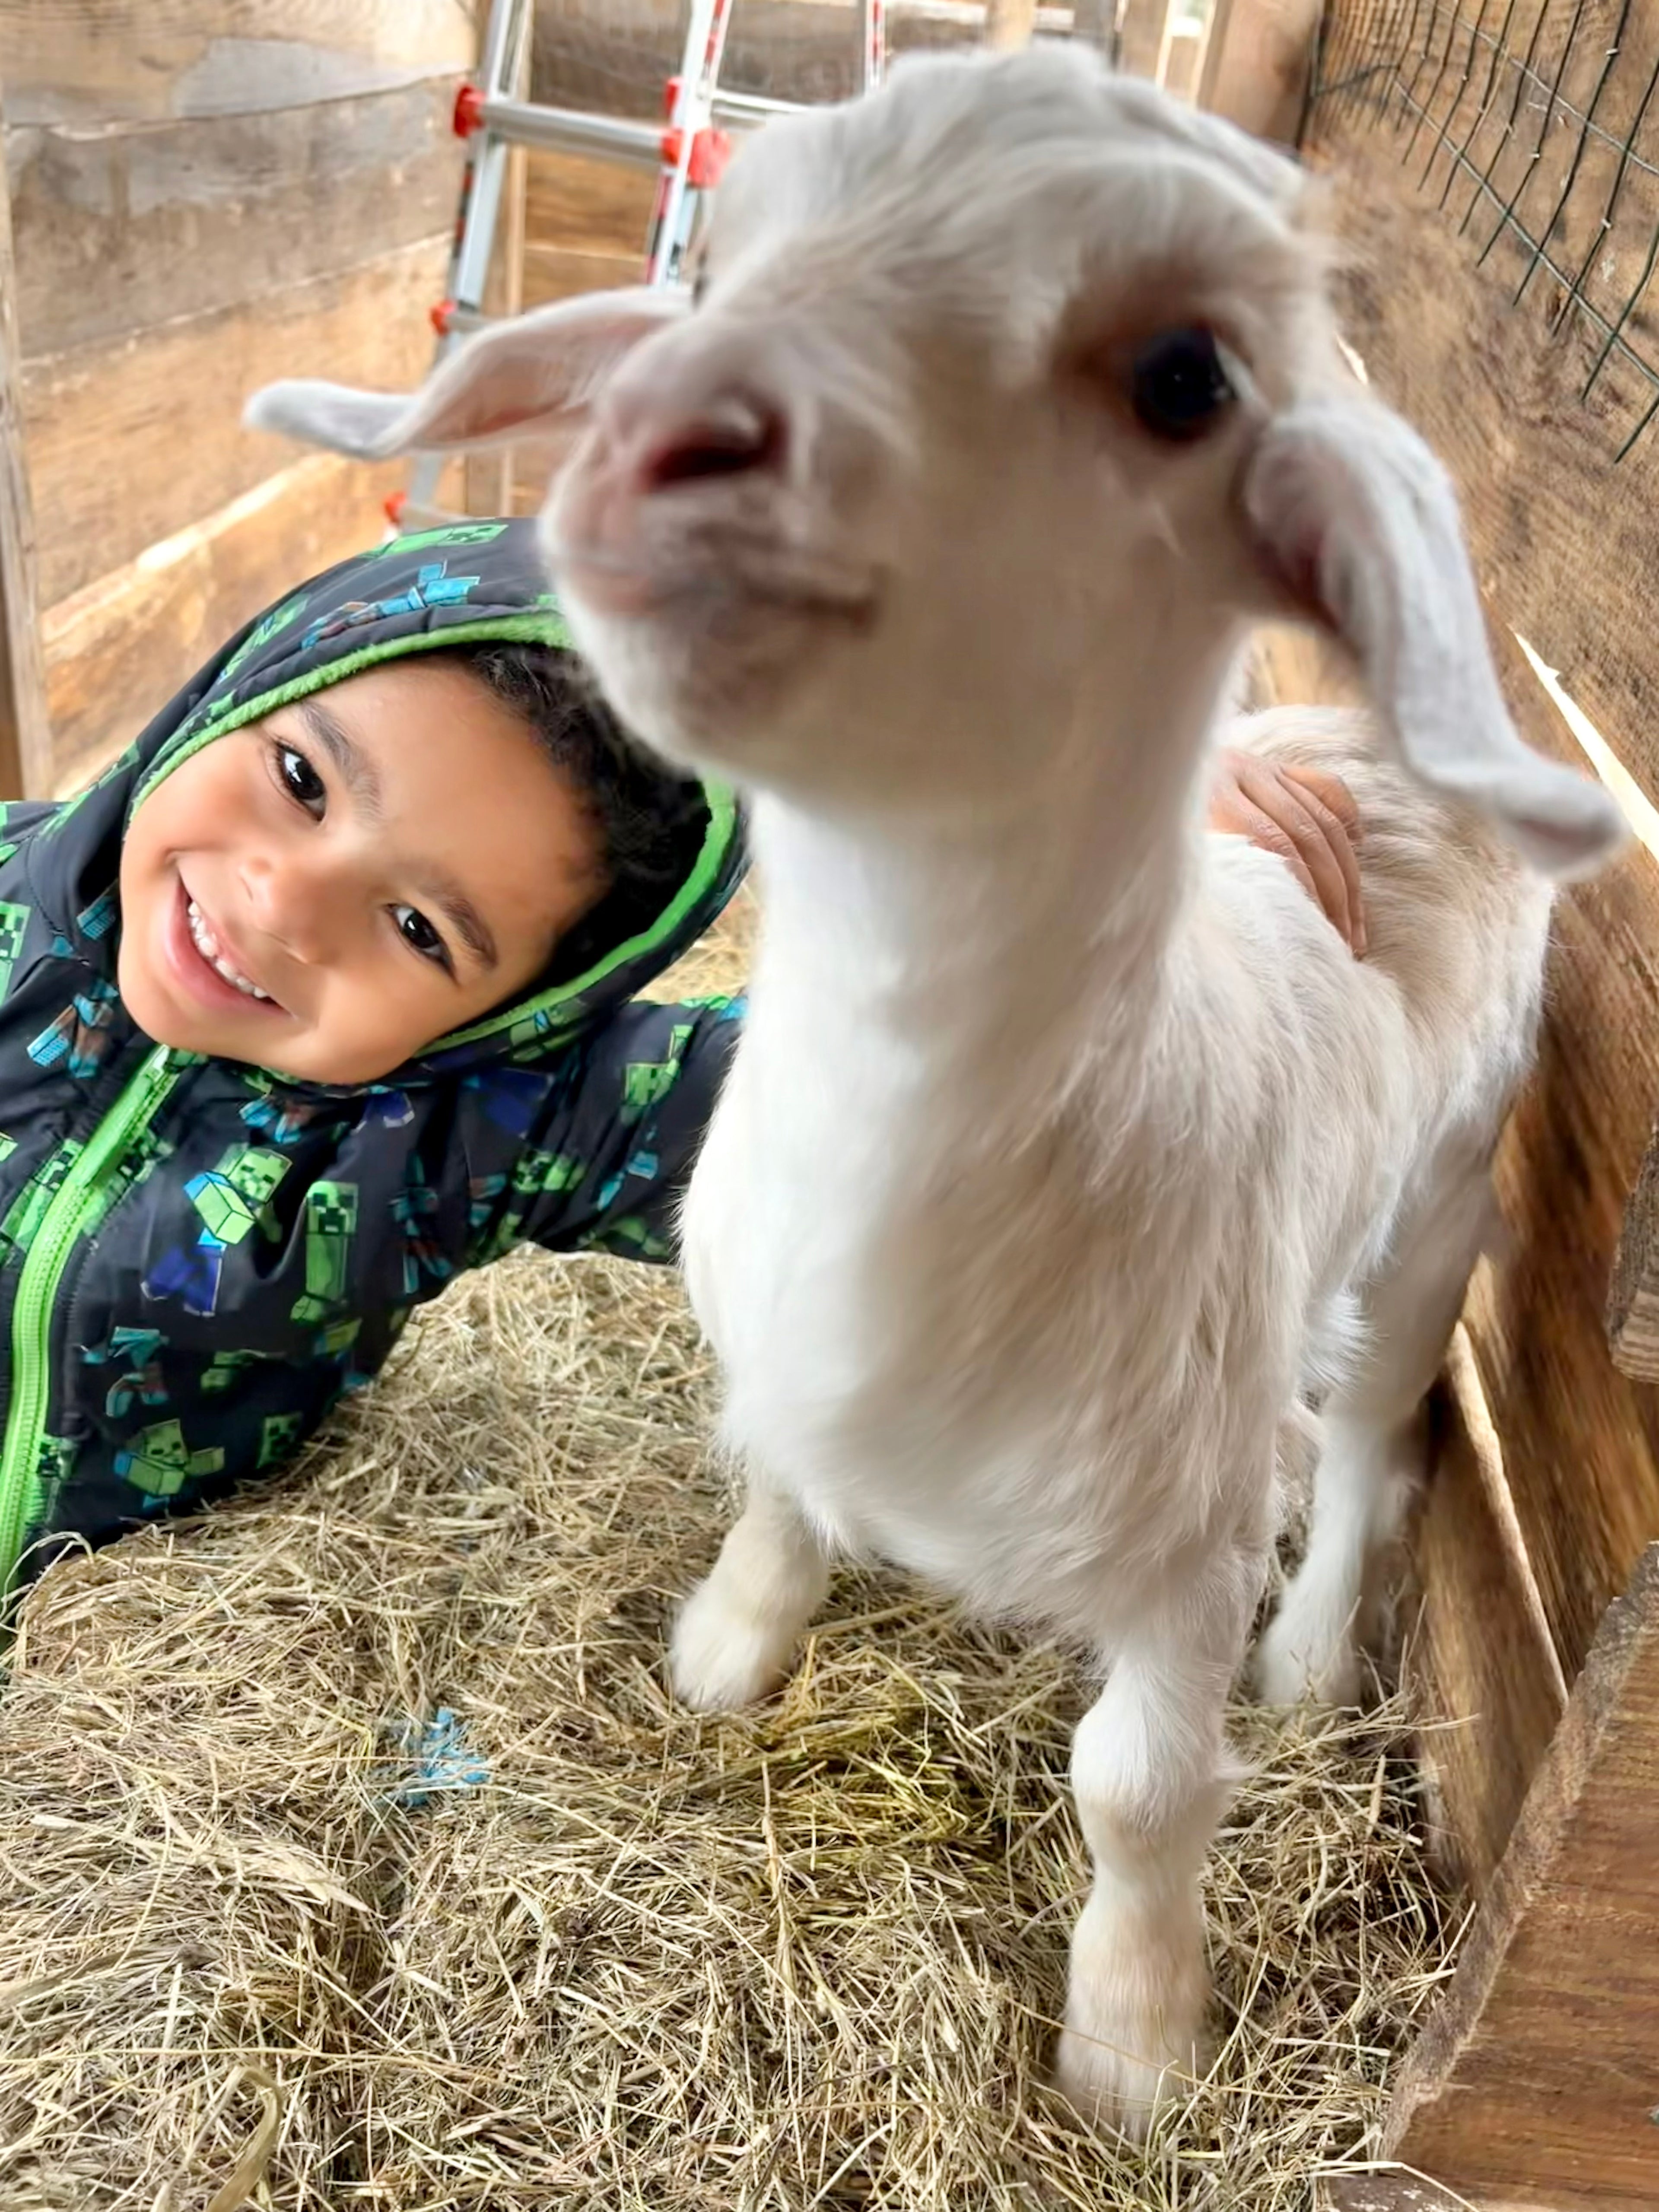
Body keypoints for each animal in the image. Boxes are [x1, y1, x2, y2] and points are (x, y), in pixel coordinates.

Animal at [248, 47, 1624, 2136]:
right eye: (719, 252)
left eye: (1186, 377)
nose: (665, 432)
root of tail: (1352, 731)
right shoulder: (779, 1359)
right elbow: (773, 1492)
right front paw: (727, 1648)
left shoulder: (1179, 1543)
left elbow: (1140, 1786)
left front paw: (1132, 2043)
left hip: (1441, 1197)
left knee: (1380, 1428)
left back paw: (1313, 1657)